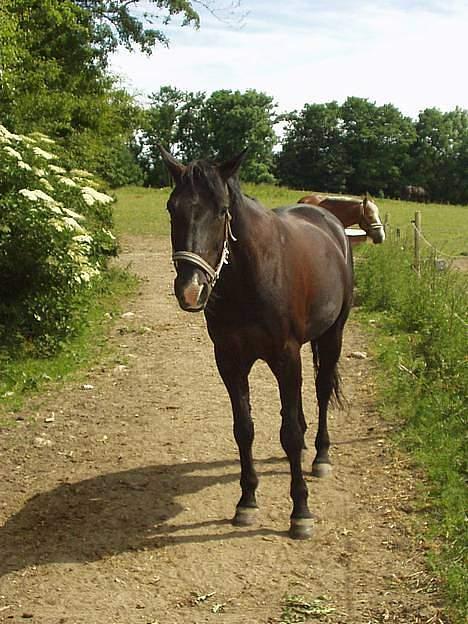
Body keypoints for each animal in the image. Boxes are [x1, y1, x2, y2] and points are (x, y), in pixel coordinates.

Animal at [159, 147, 352, 540]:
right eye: (172, 208)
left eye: (222, 210)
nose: (191, 289)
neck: (250, 277)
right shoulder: (230, 360)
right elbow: (243, 429)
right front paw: (246, 502)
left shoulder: (286, 356)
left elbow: (289, 433)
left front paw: (300, 511)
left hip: (332, 335)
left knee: (322, 390)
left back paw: (321, 455)